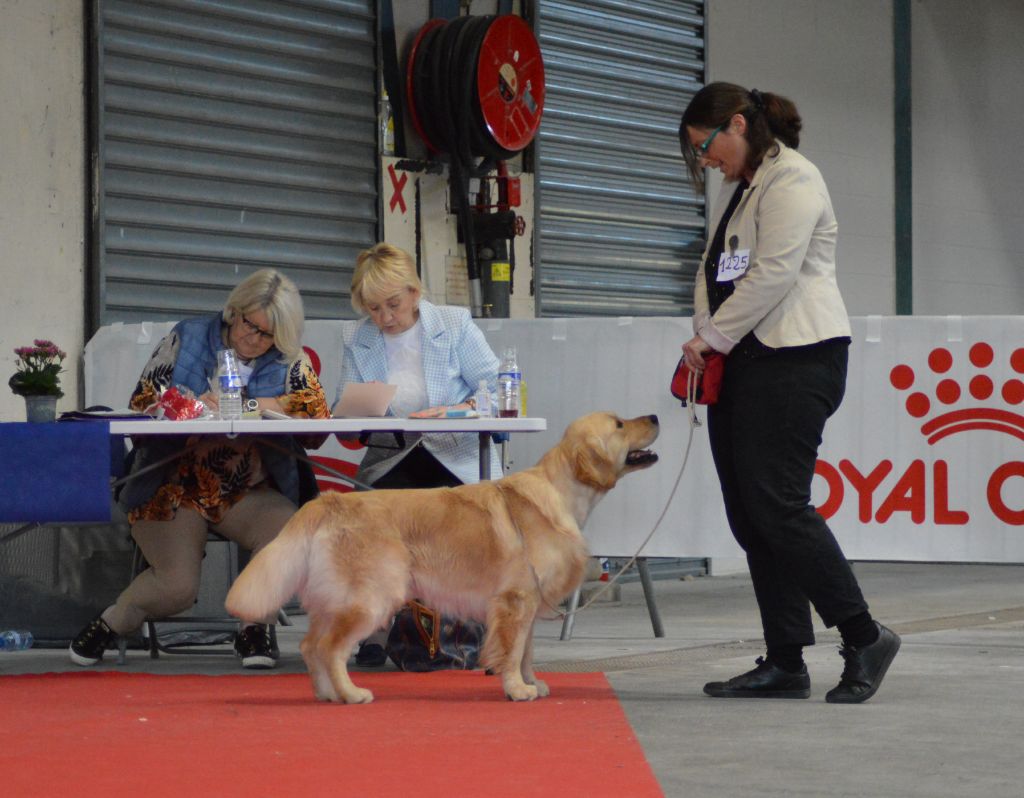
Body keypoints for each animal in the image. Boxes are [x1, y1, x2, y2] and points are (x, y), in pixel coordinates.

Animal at [225, 411, 659, 704]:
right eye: (619, 424)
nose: (654, 416)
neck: (564, 493)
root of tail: (328, 502)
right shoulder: (516, 600)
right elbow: (513, 650)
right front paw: (517, 688)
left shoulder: (529, 603)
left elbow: (527, 651)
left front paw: (531, 682)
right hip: (371, 596)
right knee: (329, 648)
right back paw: (350, 694)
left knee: (310, 644)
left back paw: (327, 694)